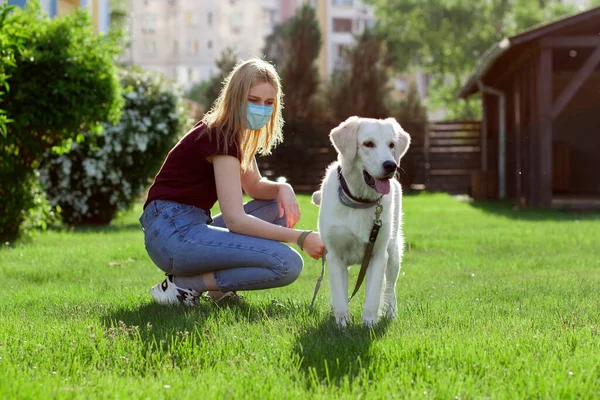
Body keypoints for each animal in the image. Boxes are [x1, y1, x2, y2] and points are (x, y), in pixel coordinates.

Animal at [312, 116, 410, 328]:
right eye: (368, 144)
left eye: (391, 145)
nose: (391, 165)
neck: (359, 200)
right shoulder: (334, 256)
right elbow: (340, 296)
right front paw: (342, 325)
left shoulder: (378, 254)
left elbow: (373, 296)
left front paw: (369, 325)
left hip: (394, 252)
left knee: (390, 288)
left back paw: (390, 312)